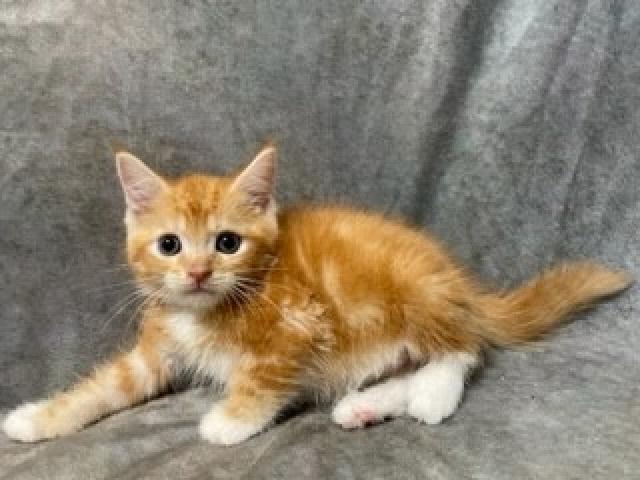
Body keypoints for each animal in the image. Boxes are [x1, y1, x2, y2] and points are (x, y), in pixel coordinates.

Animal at [2, 145, 632, 445]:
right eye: (169, 244)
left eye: (227, 243)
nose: (199, 273)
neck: (208, 310)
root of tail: (457, 281)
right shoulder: (157, 350)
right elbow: (107, 386)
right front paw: (37, 418)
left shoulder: (299, 322)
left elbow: (264, 377)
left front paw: (228, 422)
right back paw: (364, 405)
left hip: (413, 289)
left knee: (462, 349)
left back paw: (431, 396)